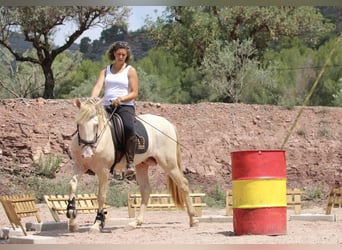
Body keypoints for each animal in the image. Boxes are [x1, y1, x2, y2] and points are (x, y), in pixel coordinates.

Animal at [66, 97, 198, 232]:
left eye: (96, 125)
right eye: (78, 124)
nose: (87, 154)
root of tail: (168, 123)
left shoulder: (103, 171)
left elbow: (101, 196)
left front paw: (98, 223)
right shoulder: (79, 166)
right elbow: (72, 185)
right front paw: (72, 218)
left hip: (168, 164)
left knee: (183, 184)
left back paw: (193, 219)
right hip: (142, 166)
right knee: (146, 190)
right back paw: (136, 222)